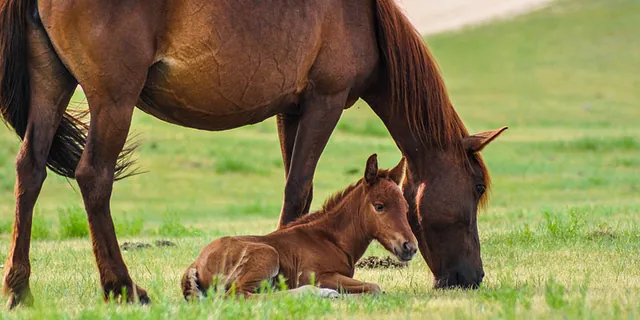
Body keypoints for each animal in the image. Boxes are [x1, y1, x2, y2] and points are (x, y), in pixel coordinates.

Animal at [182, 155, 418, 300]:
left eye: (406, 207)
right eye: (379, 206)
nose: (410, 247)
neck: (330, 239)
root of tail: (195, 264)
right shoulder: (317, 275)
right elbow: (374, 287)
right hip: (267, 256)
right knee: (241, 295)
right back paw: (318, 293)